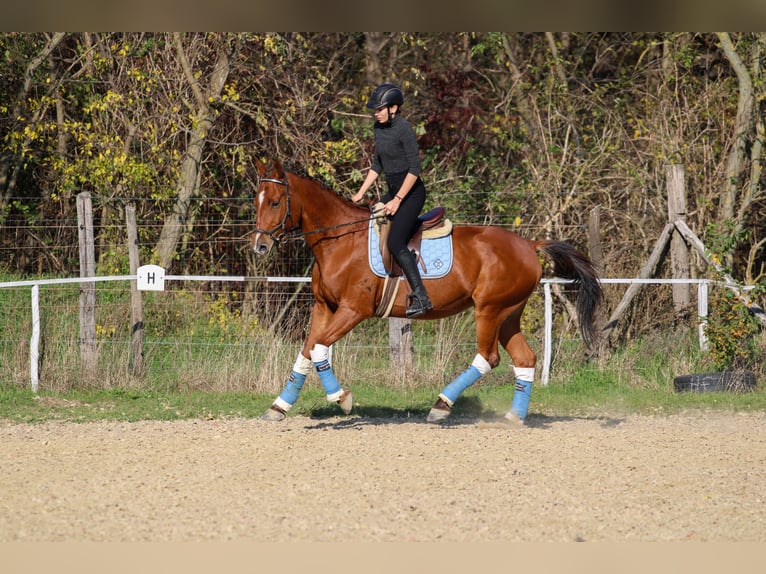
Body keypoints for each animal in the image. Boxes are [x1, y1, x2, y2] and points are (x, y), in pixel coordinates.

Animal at [255, 160, 604, 426]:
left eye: (274, 202)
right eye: (256, 202)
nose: (259, 246)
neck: (340, 240)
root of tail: (529, 245)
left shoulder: (354, 310)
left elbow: (319, 349)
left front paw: (341, 398)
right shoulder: (324, 307)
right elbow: (307, 351)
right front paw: (279, 406)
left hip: (489, 310)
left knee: (487, 358)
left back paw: (441, 405)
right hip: (508, 314)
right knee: (525, 358)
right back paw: (513, 417)